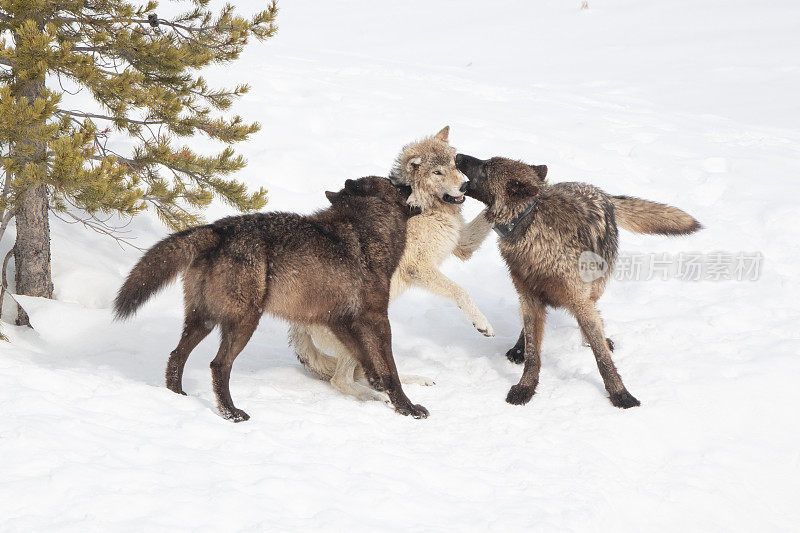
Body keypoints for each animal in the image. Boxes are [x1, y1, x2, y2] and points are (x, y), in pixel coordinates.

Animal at [114, 178, 432, 420]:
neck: (367, 233)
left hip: (203, 321)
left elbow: (365, 358)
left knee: (176, 355)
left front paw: (376, 382)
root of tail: (217, 229)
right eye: (394, 184)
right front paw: (408, 408)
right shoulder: (378, 320)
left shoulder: (338, 320)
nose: (408, 182)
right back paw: (231, 413)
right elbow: (392, 370)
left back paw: (177, 396)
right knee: (218, 365)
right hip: (243, 323)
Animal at [290, 127, 496, 402]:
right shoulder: (418, 268)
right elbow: (461, 292)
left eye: (454, 165)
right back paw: (380, 399)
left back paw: (414, 380)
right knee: (341, 380)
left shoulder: (462, 244)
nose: (464, 185)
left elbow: (489, 215)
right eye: (437, 172)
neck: (424, 207)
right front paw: (482, 324)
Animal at [454, 154, 704, 408]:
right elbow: (533, 353)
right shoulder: (529, 297)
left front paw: (621, 394)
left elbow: (602, 358)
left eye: (485, 167)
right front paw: (525, 387)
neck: (533, 227)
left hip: (595, 288)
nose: (458, 156)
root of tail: (598, 190)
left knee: (594, 317)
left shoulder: (579, 301)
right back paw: (518, 349)